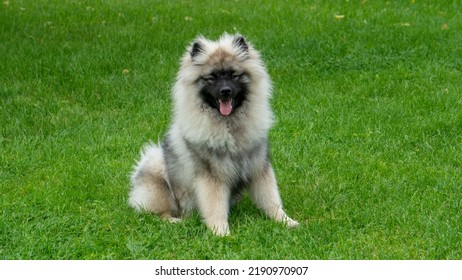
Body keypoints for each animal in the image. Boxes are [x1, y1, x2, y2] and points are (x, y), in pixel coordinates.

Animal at [128, 33, 298, 236]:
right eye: (211, 78)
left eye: (234, 75)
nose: (225, 91)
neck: (229, 126)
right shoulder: (212, 176)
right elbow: (215, 206)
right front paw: (221, 232)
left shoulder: (258, 167)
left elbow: (271, 199)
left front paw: (286, 221)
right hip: (157, 175)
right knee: (157, 213)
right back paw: (175, 221)